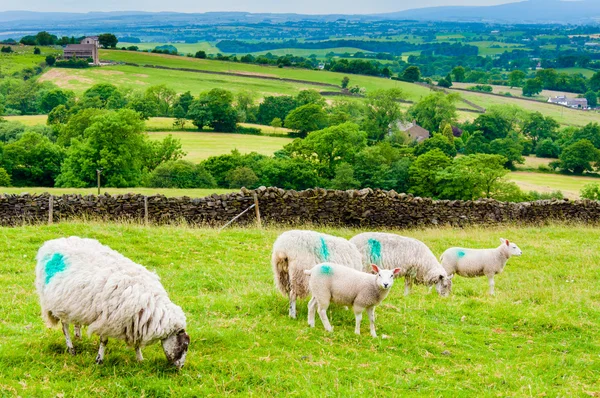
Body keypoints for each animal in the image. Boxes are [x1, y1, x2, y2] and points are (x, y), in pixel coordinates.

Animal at [35, 235, 190, 368]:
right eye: (185, 346)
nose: (181, 367)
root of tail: (51, 243)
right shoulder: (107, 319)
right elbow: (104, 341)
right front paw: (99, 360)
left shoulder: (134, 321)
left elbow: (137, 344)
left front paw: (140, 359)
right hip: (57, 303)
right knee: (65, 327)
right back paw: (71, 348)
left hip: (72, 304)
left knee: (74, 321)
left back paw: (78, 335)